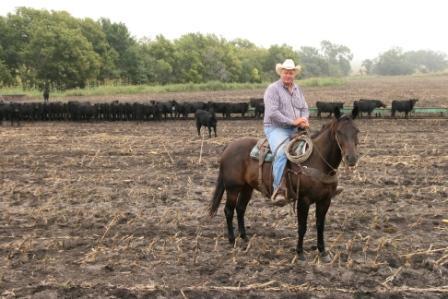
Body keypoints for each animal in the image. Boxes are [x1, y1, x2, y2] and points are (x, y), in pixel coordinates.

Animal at [209, 106, 360, 262]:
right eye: (339, 132)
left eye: (357, 131)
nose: (352, 158)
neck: (317, 161)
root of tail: (229, 147)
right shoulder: (304, 200)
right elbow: (302, 227)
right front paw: (300, 253)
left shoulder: (325, 200)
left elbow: (320, 225)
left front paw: (323, 252)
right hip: (233, 188)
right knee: (228, 210)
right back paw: (232, 240)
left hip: (247, 188)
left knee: (240, 209)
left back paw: (244, 237)